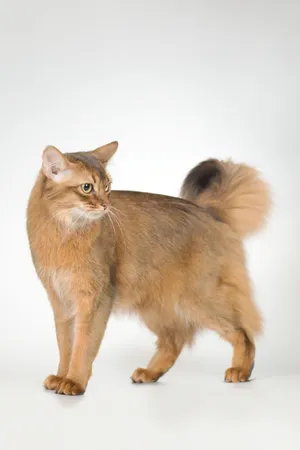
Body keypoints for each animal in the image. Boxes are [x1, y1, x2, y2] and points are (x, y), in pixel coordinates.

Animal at [27, 141, 272, 394]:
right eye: (87, 187)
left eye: (107, 187)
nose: (106, 205)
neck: (63, 231)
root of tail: (209, 212)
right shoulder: (60, 301)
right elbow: (65, 345)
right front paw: (60, 376)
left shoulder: (95, 299)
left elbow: (83, 346)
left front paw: (74, 381)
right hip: (154, 304)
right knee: (175, 340)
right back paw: (150, 373)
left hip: (199, 298)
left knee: (243, 332)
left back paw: (241, 370)